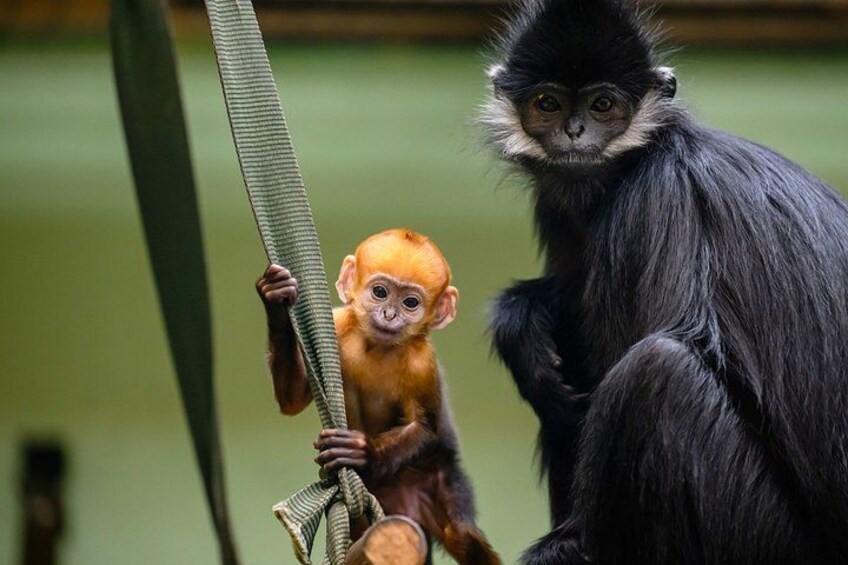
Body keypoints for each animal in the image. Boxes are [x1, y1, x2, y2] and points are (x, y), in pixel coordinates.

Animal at [257, 229, 501, 565]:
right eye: (380, 293)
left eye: (410, 302)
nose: (389, 314)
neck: (375, 348)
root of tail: (408, 509)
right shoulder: (337, 324)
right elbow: (292, 400)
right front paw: (277, 299)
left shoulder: (422, 364)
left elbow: (425, 427)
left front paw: (363, 452)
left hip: (437, 483)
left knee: (462, 536)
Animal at [481, 1, 848, 564]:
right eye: (547, 104)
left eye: (604, 105)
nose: (574, 131)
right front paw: (520, 320)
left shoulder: (656, 196)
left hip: (760, 532)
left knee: (657, 371)